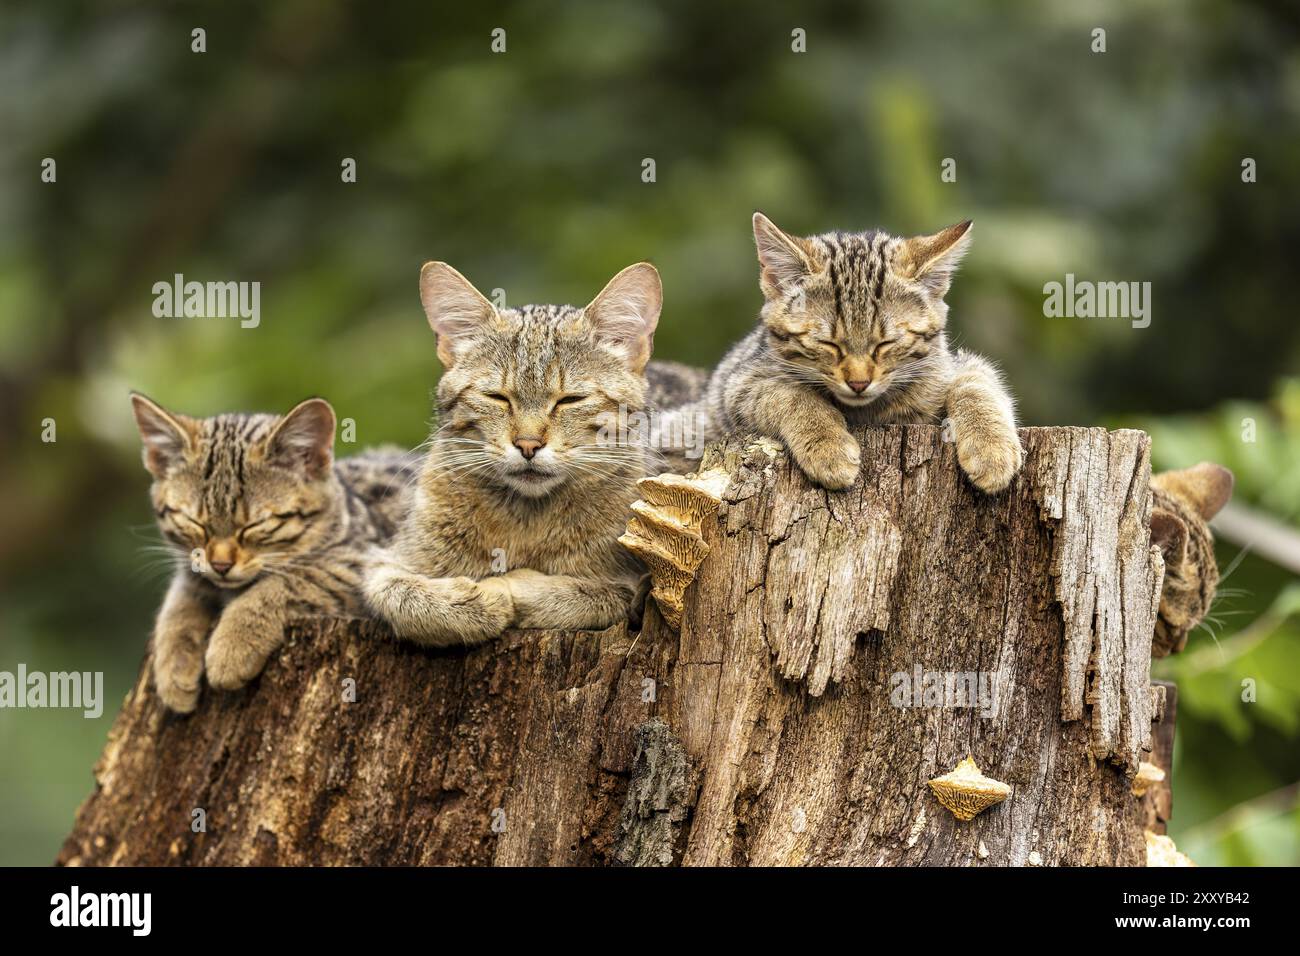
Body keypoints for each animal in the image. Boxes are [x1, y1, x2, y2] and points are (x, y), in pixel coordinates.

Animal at [131, 392, 416, 712]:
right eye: (195, 523)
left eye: (255, 525)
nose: (220, 564)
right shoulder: (193, 572)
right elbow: (178, 603)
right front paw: (173, 665)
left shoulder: (362, 561)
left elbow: (283, 584)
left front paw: (232, 646)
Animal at [361, 260, 660, 642]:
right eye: (497, 397)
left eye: (570, 400)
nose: (528, 444)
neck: (525, 521)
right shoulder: (383, 562)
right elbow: (400, 593)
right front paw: (471, 602)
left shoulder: (631, 585)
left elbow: (579, 592)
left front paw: (502, 588)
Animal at [660, 210, 1024, 494]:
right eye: (829, 344)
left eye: (885, 344)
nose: (859, 383)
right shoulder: (738, 385)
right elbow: (789, 394)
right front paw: (828, 447)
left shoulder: (949, 365)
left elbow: (976, 380)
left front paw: (991, 447)